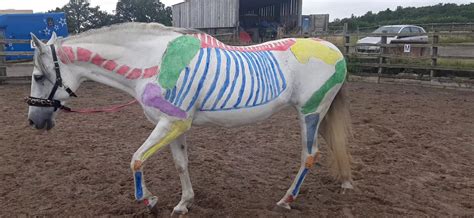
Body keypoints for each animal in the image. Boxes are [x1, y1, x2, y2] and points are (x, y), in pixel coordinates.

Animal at [25, 22, 352, 215]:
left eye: (38, 76)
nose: (34, 122)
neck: (153, 62)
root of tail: (333, 48)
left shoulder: (172, 123)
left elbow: (136, 160)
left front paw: (149, 200)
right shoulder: (175, 126)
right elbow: (181, 164)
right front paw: (184, 203)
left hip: (310, 113)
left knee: (309, 155)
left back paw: (287, 199)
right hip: (319, 113)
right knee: (332, 146)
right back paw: (345, 182)